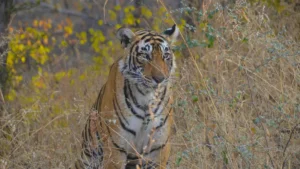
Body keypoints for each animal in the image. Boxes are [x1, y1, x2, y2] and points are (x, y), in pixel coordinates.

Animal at [73, 24, 179, 169]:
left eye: (166, 56)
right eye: (145, 56)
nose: (160, 79)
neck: (147, 97)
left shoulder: (158, 148)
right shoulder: (116, 148)